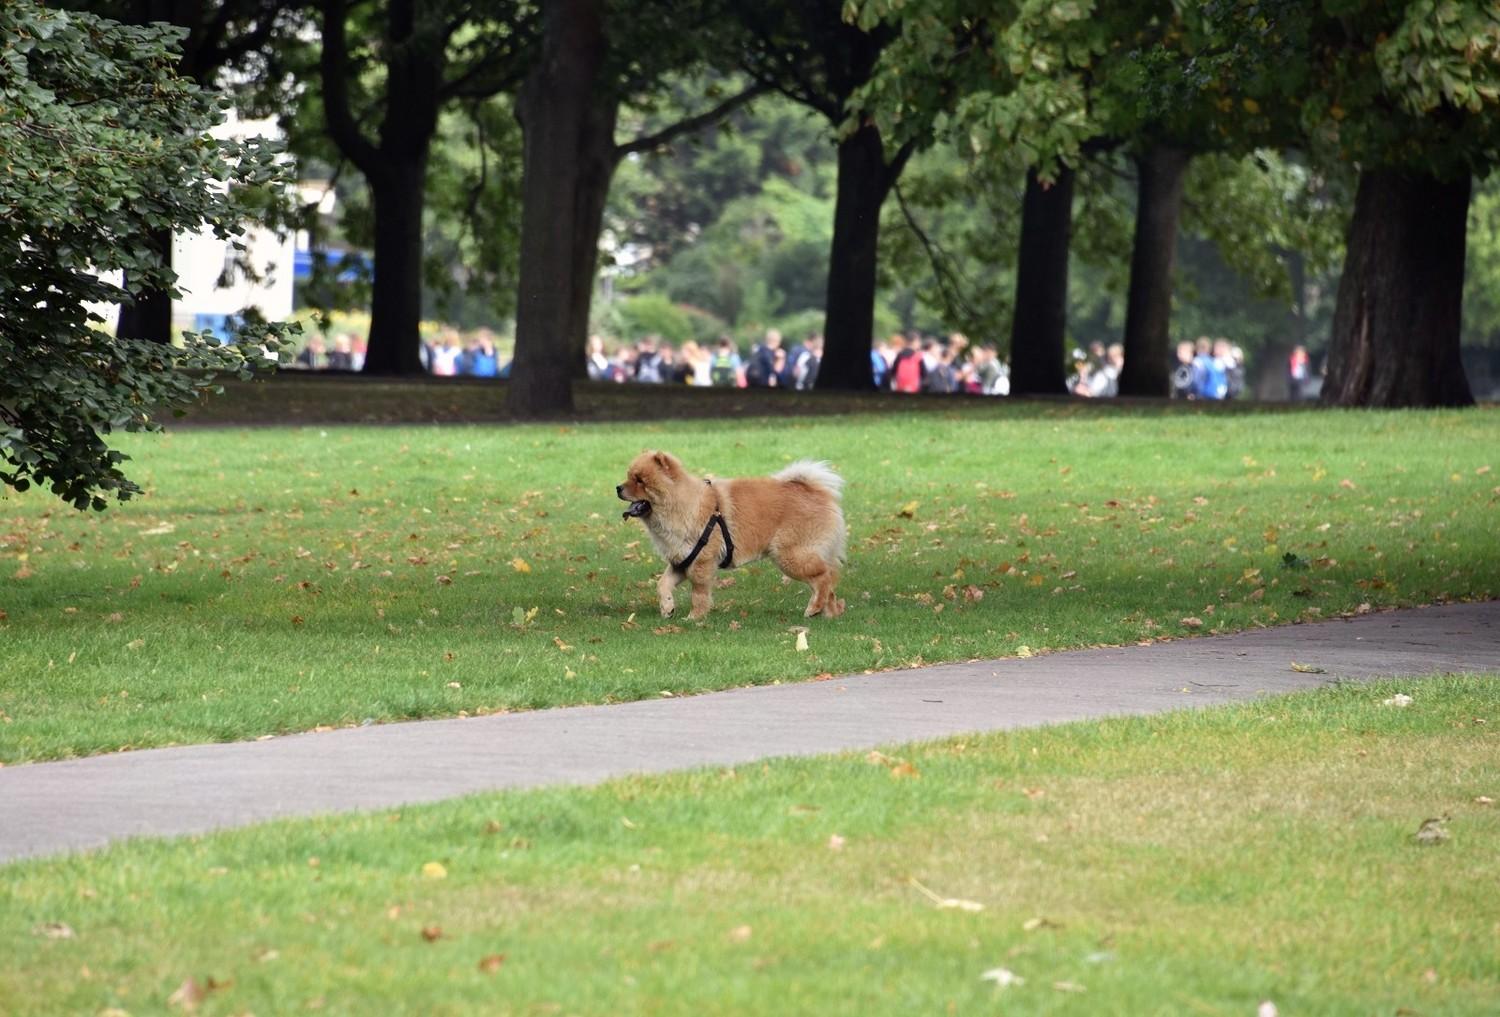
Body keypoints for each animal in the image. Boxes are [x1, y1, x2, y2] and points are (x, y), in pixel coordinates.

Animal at [612, 453, 846, 621]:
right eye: (629, 476)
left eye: (640, 480)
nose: (618, 487)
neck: (682, 504)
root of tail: (815, 491)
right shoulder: (681, 561)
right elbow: (662, 584)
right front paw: (667, 608)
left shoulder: (701, 562)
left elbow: (698, 594)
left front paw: (694, 617)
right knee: (827, 583)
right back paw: (828, 613)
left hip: (790, 556)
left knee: (824, 576)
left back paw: (815, 608)